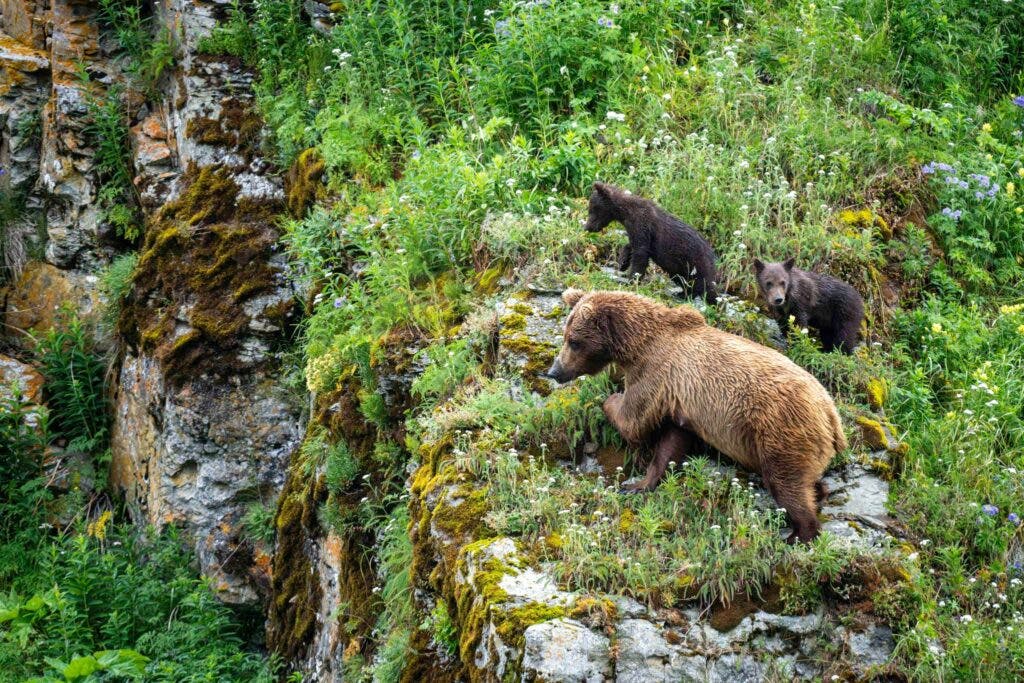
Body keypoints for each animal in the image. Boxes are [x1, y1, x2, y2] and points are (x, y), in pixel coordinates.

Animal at [545, 288, 846, 542]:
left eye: (573, 341)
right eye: (567, 336)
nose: (554, 371)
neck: (636, 345)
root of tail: (831, 412)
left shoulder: (654, 372)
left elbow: (634, 420)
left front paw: (609, 399)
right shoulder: (681, 404)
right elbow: (670, 443)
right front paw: (638, 484)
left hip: (781, 430)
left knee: (786, 482)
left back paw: (798, 533)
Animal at [583, 182, 718, 304]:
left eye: (592, 209)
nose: (587, 227)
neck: (625, 213)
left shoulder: (641, 224)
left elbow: (640, 253)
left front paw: (632, 280)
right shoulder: (636, 230)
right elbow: (633, 245)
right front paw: (623, 261)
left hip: (695, 261)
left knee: (704, 284)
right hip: (679, 268)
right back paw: (682, 293)